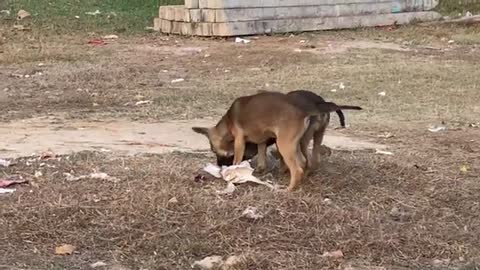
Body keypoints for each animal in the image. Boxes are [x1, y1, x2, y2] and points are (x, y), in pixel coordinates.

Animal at [191, 91, 360, 192]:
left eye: (214, 150)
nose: (220, 165)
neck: (227, 121)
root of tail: (306, 109)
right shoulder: (261, 140)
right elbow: (261, 154)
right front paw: (260, 169)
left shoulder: (239, 140)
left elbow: (237, 159)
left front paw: (232, 172)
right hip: (302, 141)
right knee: (306, 162)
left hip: (284, 144)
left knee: (298, 168)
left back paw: (288, 189)